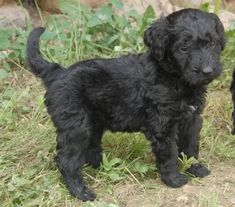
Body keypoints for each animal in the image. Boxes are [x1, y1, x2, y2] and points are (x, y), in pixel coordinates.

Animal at [26, 8, 226, 201]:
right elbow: (169, 153)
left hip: (92, 125)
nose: (207, 71)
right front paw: (174, 179)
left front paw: (195, 168)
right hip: (75, 127)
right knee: (67, 161)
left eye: (212, 44)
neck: (175, 78)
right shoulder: (162, 125)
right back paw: (81, 192)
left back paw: (102, 167)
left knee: (90, 149)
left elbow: (191, 146)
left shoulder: (191, 119)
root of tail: (57, 73)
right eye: (184, 48)